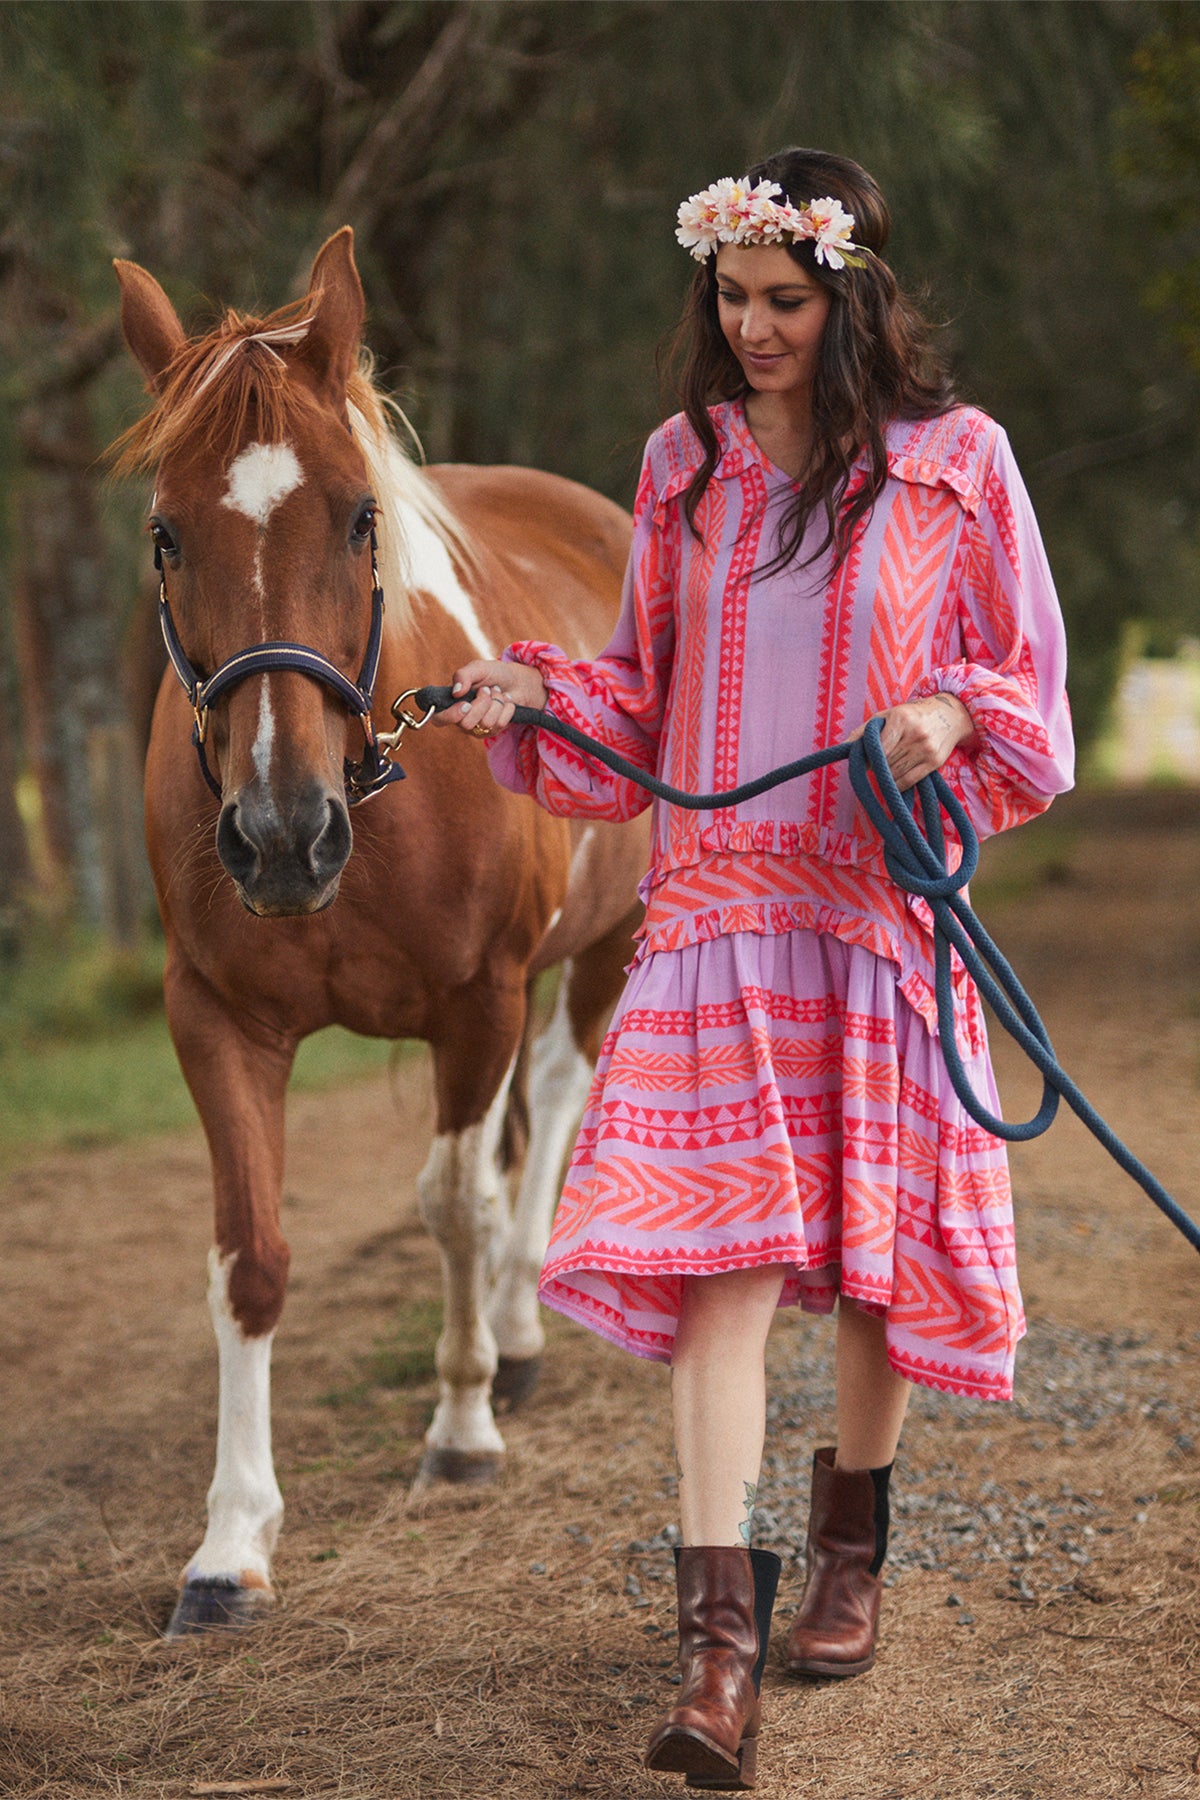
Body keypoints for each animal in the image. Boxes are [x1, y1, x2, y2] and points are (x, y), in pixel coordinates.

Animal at [112, 232, 647, 1641]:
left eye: (360, 518)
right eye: (166, 533)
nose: (280, 837)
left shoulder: (480, 1001)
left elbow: (456, 1202)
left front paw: (461, 1427)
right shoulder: (216, 1020)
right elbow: (250, 1259)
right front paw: (230, 1544)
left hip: (603, 947)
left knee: (552, 1106)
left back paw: (515, 1336)